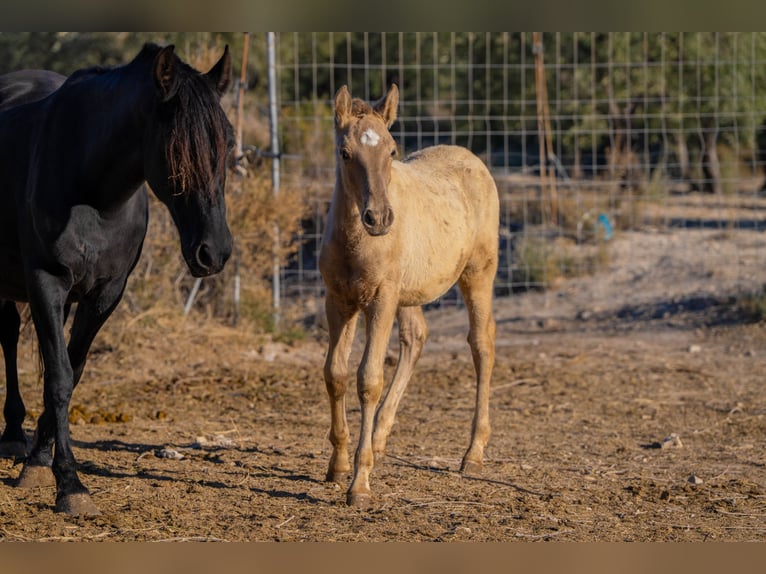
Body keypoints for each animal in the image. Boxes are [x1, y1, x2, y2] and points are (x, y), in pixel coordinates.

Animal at [0, 43, 234, 515]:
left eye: (226, 144)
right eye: (178, 150)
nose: (214, 252)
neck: (93, 195)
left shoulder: (104, 295)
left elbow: (70, 373)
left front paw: (39, 463)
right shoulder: (45, 283)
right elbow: (58, 379)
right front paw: (69, 485)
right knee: (7, 333)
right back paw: (12, 435)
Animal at [318, 84, 499, 507]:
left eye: (392, 150)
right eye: (344, 152)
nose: (380, 218)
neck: (356, 242)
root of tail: (472, 159)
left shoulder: (381, 300)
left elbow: (368, 379)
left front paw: (360, 484)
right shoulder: (338, 301)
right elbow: (335, 373)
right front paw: (338, 467)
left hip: (478, 274)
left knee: (482, 344)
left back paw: (473, 454)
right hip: (410, 293)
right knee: (416, 337)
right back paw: (381, 440)